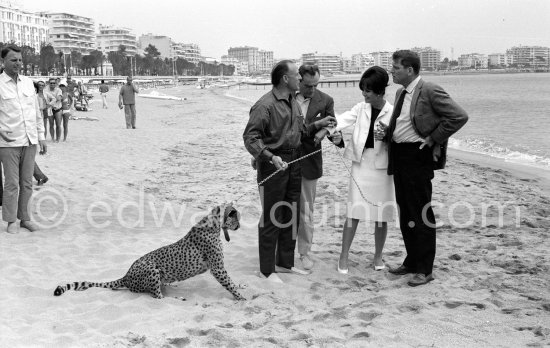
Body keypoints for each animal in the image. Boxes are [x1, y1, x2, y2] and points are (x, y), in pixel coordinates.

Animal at [53, 205, 246, 300]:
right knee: (157, 296)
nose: (239, 226)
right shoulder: (217, 268)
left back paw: (171, 286)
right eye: (236, 217)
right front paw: (241, 297)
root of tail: (126, 275)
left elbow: (232, 282)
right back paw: (175, 298)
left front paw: (241, 287)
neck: (213, 224)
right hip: (151, 268)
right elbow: (229, 283)